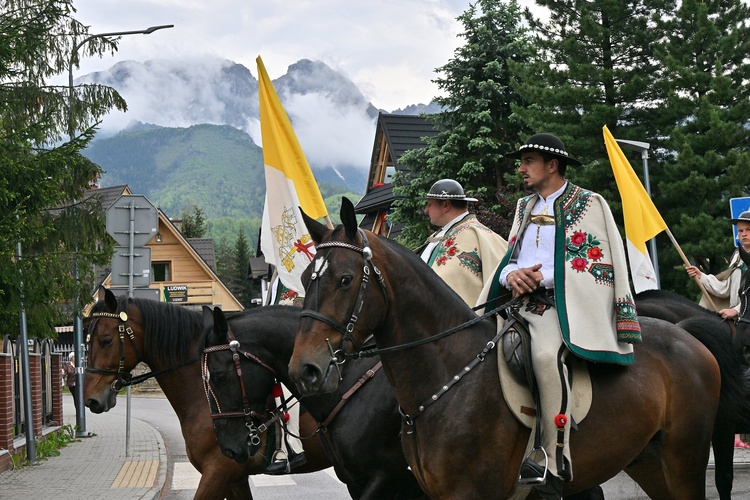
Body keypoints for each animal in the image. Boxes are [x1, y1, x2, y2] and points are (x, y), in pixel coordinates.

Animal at [290, 197, 748, 498]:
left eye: (345, 279)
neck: (446, 375)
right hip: (650, 464)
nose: (305, 370)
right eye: (308, 279)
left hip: (683, 461)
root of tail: (688, 337)